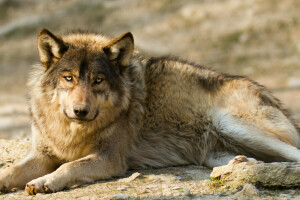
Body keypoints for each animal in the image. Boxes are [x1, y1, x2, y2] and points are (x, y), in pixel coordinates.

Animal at [0, 28, 300, 195]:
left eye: (98, 80)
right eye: (69, 78)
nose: (80, 110)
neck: (71, 131)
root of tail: (268, 92)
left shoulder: (109, 159)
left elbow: (69, 165)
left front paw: (44, 182)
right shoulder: (42, 154)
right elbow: (12, 170)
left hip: (233, 125)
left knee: (294, 154)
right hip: (213, 153)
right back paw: (241, 164)